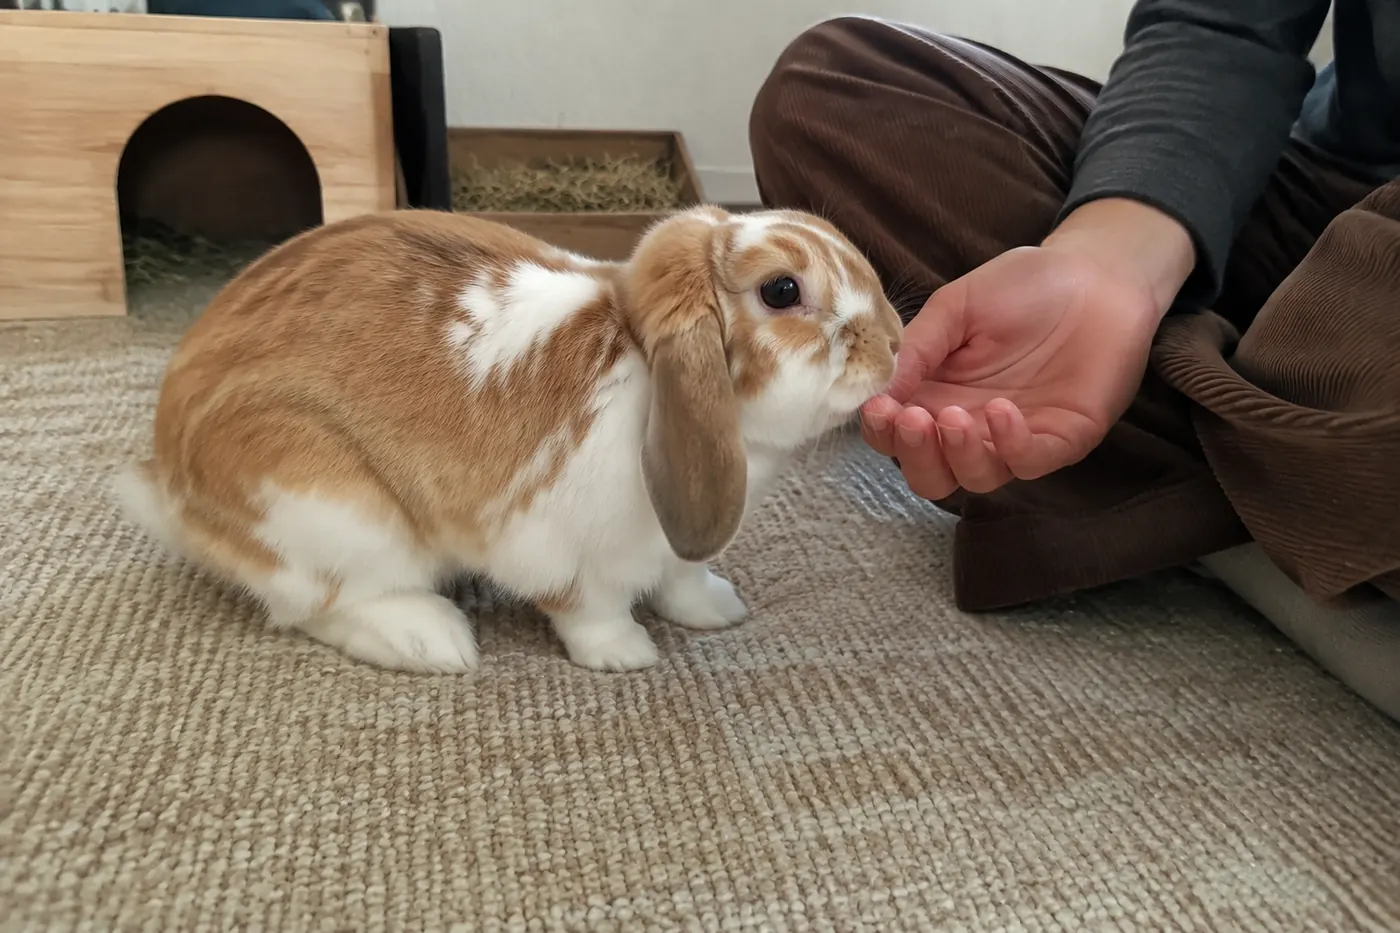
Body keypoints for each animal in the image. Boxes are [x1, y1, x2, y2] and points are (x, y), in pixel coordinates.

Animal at [113, 205, 903, 673]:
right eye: (781, 291)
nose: (894, 343)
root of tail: (168, 485)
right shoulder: (559, 548)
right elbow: (590, 609)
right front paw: (627, 655)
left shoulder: (676, 541)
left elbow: (683, 579)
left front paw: (716, 610)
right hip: (327, 503)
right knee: (317, 603)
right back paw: (434, 641)